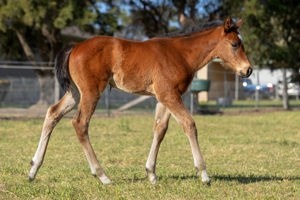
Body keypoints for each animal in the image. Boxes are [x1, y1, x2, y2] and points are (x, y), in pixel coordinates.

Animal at [28, 16, 252, 186]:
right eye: (234, 44)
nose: (248, 70)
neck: (180, 53)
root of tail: (76, 46)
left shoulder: (164, 97)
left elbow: (160, 130)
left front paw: (151, 173)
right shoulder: (170, 95)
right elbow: (189, 124)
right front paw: (204, 174)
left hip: (75, 92)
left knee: (53, 113)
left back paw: (33, 169)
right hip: (91, 92)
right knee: (80, 123)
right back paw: (102, 175)